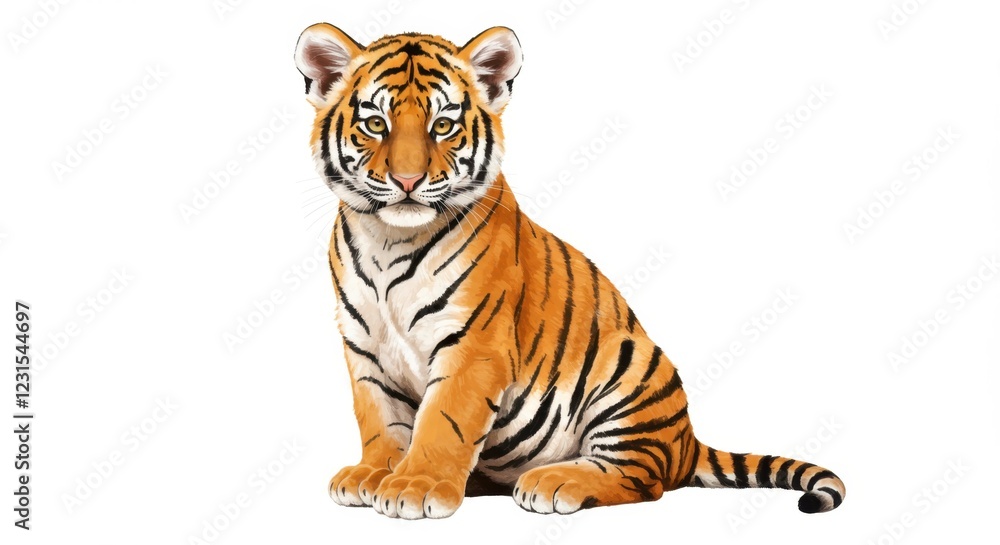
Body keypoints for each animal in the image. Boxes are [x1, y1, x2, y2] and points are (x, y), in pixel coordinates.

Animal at [293, 23, 846, 520]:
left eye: (443, 126)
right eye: (376, 125)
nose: (407, 181)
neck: (388, 240)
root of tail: (688, 442)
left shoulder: (472, 344)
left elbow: (442, 419)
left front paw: (417, 486)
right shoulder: (365, 344)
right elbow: (380, 417)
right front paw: (374, 473)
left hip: (632, 367)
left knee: (642, 479)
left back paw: (554, 482)